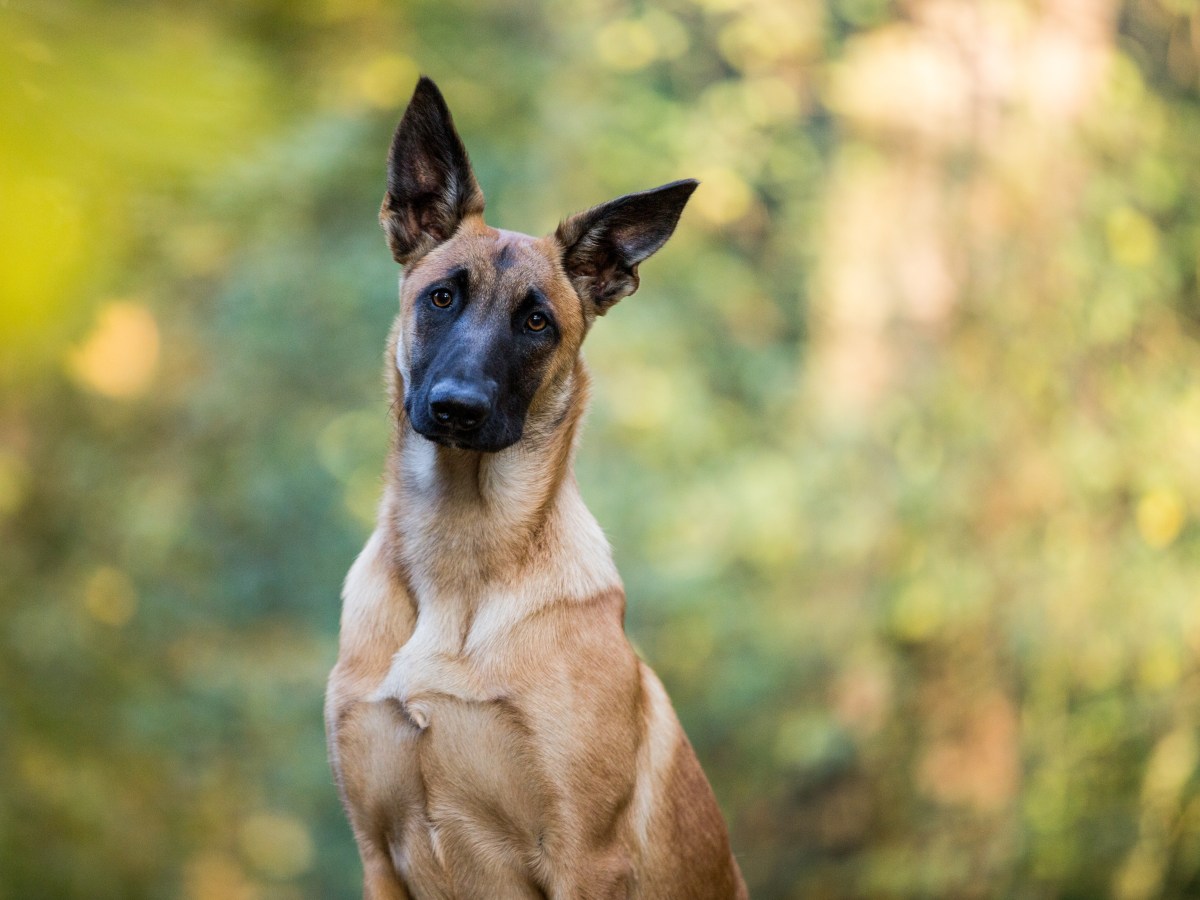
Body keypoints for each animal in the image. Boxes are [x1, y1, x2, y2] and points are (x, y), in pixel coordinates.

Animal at [324, 79, 744, 900]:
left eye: (537, 323)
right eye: (441, 298)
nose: (458, 408)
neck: (460, 565)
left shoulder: (585, 859)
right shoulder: (376, 855)